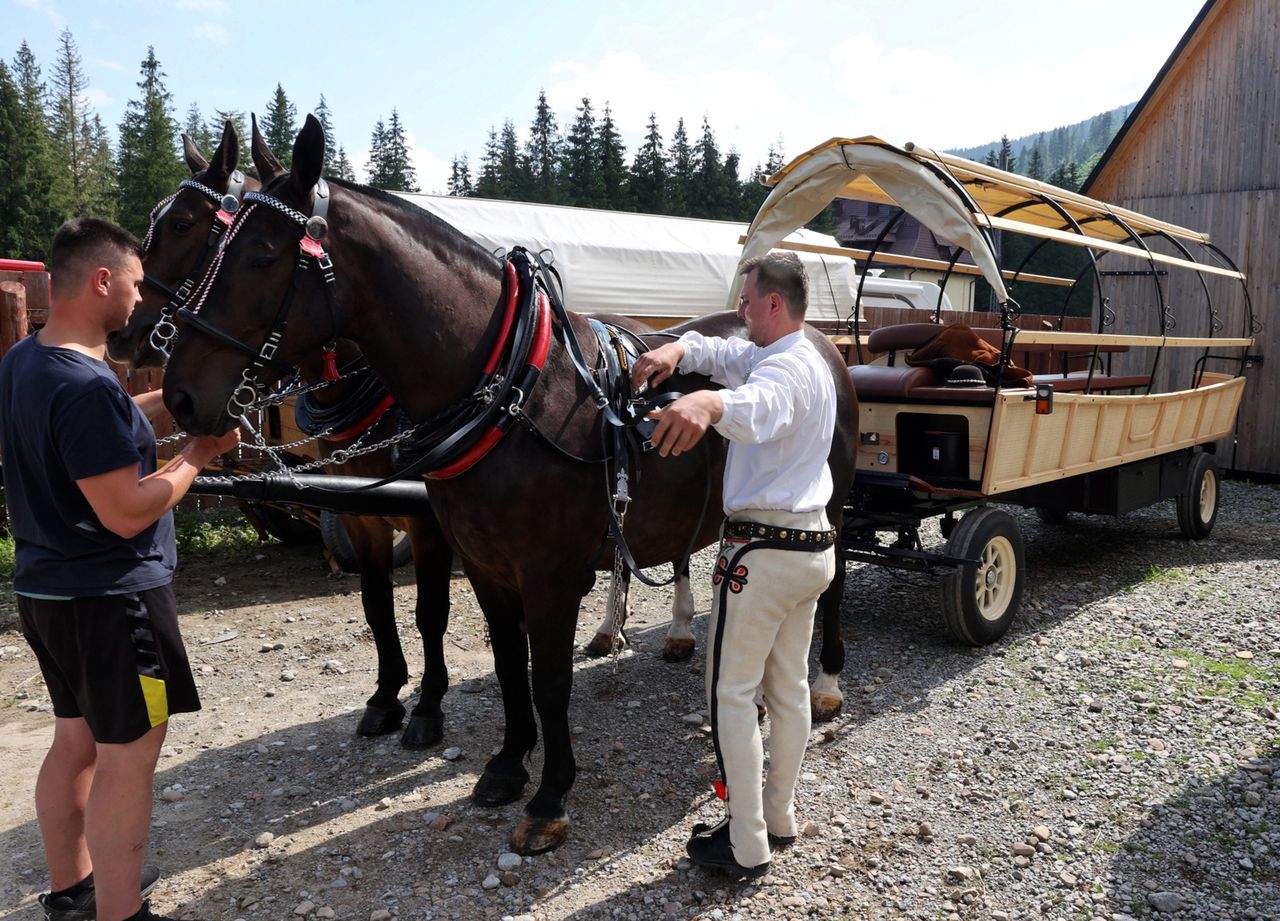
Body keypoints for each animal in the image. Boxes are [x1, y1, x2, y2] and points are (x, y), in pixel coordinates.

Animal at [107, 120, 453, 747]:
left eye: (183, 223)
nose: (123, 333)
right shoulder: (360, 514)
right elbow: (375, 607)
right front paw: (386, 697)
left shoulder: (425, 521)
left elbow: (429, 612)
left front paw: (429, 705)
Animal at [162, 115, 860, 854]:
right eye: (216, 241)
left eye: (262, 255)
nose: (179, 395)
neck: (514, 392)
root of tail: (811, 339)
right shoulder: (484, 563)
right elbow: (502, 662)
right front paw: (505, 764)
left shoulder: (546, 572)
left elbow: (546, 677)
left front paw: (549, 793)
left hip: (833, 508)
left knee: (829, 584)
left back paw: (826, 682)